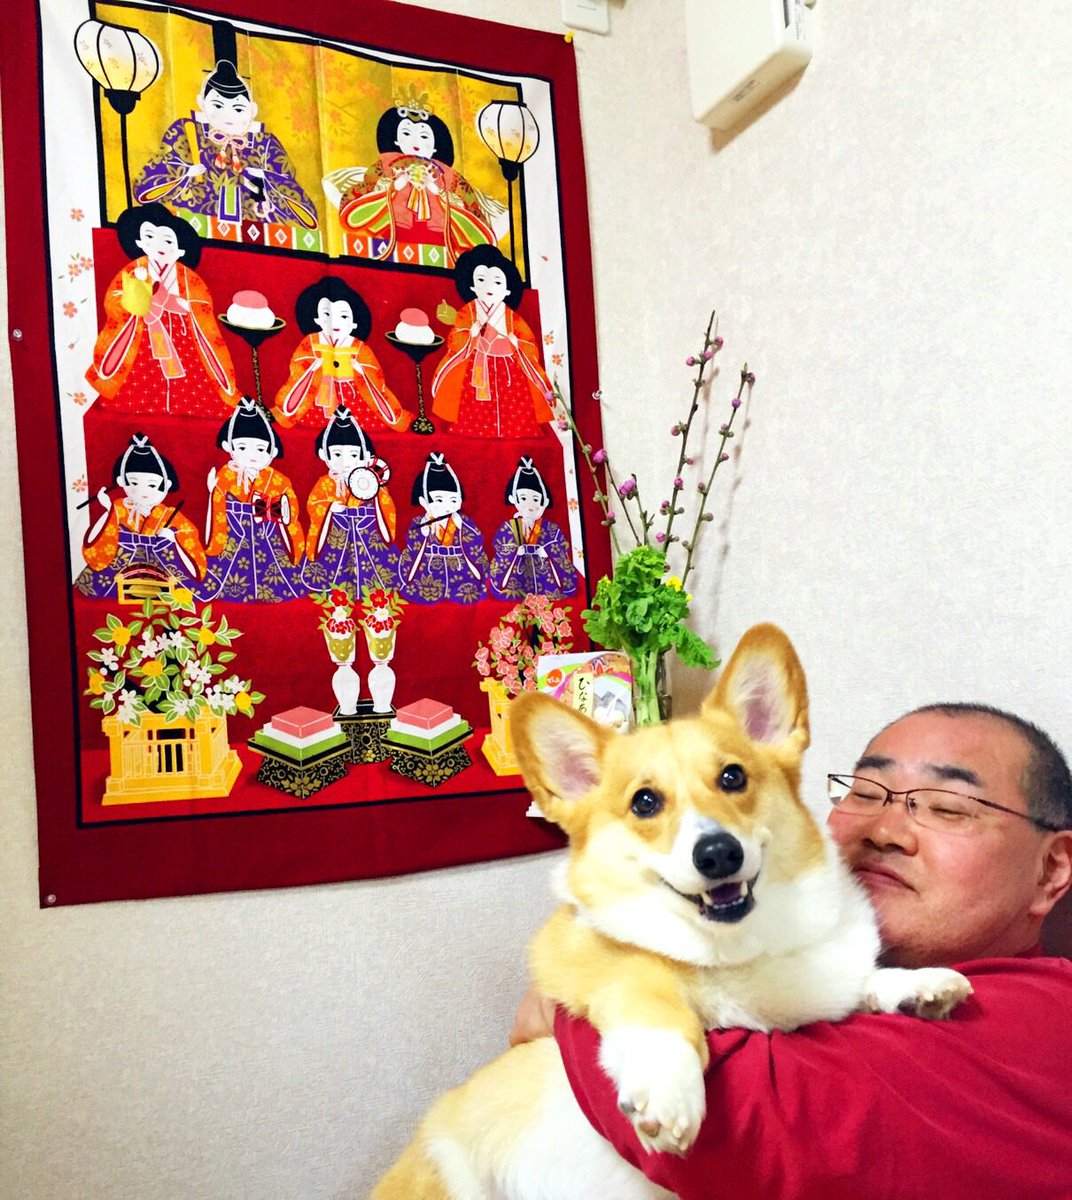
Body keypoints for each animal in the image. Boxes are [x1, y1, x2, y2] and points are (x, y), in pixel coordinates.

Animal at [371, 623, 972, 1200]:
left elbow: (858, 983)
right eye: (644, 802)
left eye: (733, 777)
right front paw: (669, 1089)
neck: (738, 950)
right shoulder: (592, 957)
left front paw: (920, 986)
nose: (718, 853)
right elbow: (653, 991)